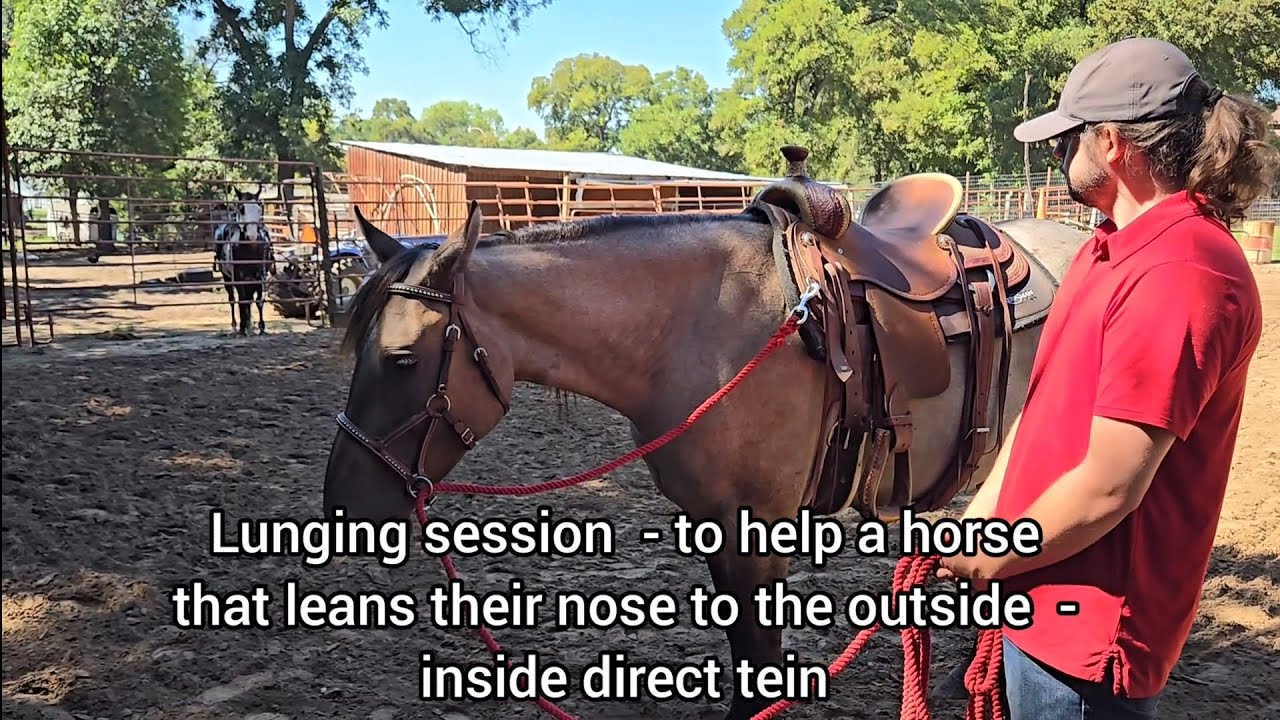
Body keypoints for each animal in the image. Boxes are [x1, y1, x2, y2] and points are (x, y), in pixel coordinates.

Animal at [213, 185, 276, 335]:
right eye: (242, 209)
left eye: (259, 209)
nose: (252, 235)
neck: (249, 248)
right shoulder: (238, 276)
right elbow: (242, 301)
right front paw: (243, 327)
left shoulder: (260, 275)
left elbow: (258, 301)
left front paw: (261, 327)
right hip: (227, 279)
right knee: (233, 300)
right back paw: (236, 326)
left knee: (249, 299)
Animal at [322, 158, 1086, 719]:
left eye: (401, 360)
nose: (342, 509)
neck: (698, 329)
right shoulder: (716, 525)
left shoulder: (759, 529)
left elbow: (759, 657)